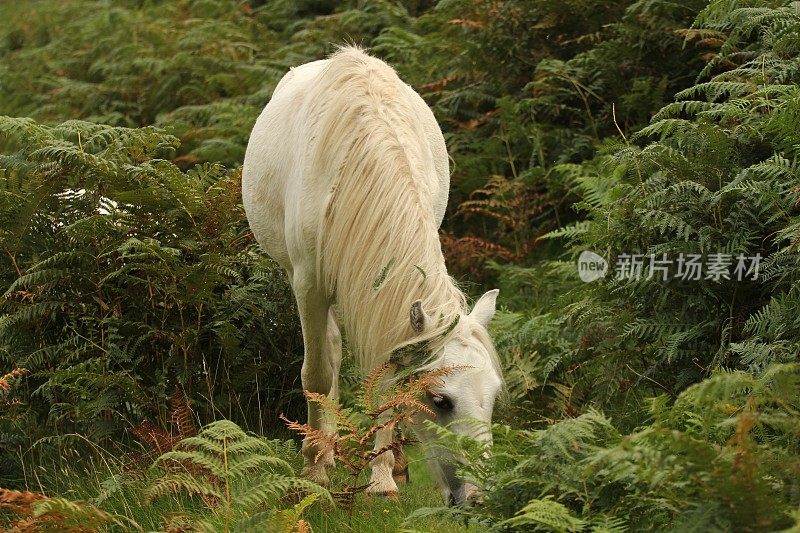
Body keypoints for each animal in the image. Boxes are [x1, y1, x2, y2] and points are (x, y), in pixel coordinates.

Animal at [241, 45, 504, 502]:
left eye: (492, 397)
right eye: (440, 401)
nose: (477, 497)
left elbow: (383, 379)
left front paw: (381, 478)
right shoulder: (309, 284)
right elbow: (317, 372)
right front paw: (315, 470)